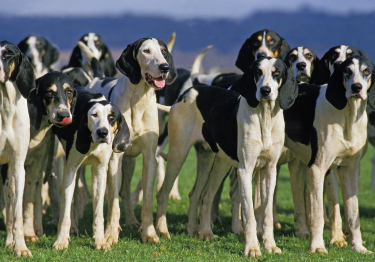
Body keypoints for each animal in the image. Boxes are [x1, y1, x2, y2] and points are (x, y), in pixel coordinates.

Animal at [51, 86, 131, 250]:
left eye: (112, 117)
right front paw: (61, 240)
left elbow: (99, 211)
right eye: (94, 115)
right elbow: (65, 211)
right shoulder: (70, 169)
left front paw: (99, 241)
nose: (102, 132)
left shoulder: (100, 170)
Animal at [84, 37, 178, 245]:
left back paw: (132, 221)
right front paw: (110, 234)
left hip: (130, 162)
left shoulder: (150, 157)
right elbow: (113, 203)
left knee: (125, 192)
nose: (165, 67)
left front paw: (149, 233)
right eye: (146, 51)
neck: (138, 101)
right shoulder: (114, 159)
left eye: (163, 51)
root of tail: (98, 77)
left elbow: (147, 200)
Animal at [156, 56, 300, 256]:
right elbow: (249, 214)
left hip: (214, 163)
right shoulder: (245, 171)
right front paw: (252, 248)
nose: (265, 91)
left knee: (201, 195)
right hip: (178, 155)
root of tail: (188, 92)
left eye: (277, 73)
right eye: (257, 72)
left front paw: (270, 245)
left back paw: (200, 231)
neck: (264, 117)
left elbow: (267, 213)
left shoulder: (270, 170)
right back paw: (162, 231)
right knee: (163, 193)